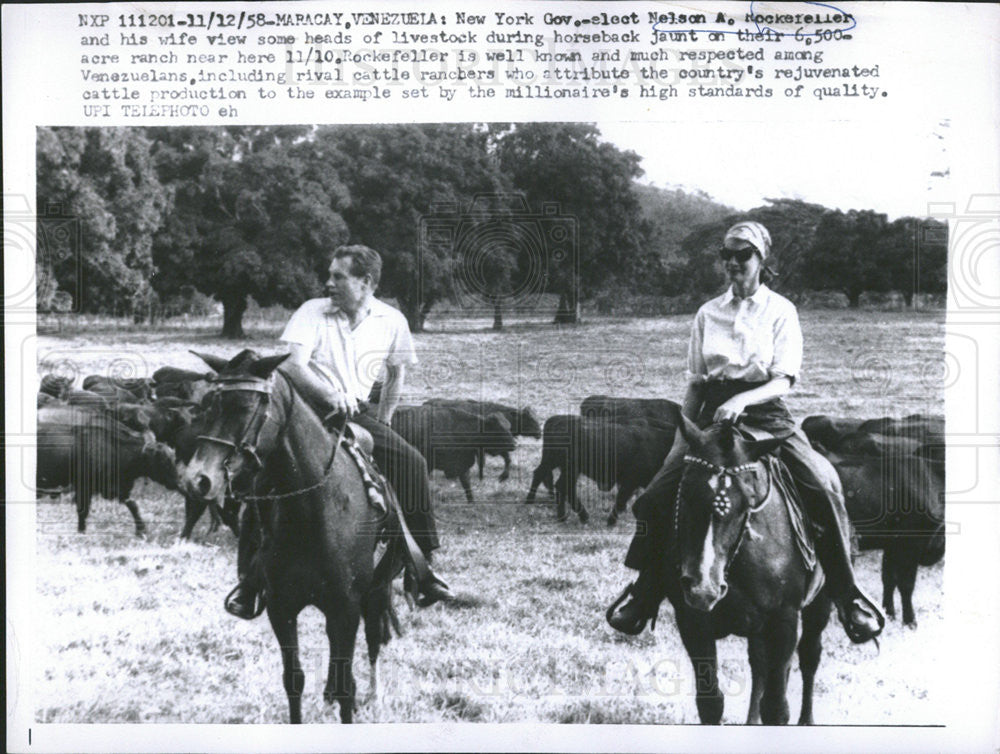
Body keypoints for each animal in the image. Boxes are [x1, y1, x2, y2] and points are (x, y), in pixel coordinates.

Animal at [36, 406, 181, 536]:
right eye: (162, 461)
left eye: (173, 458)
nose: (177, 482)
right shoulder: (84, 489)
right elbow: (83, 511)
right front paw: (81, 531)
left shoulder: (117, 489)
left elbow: (133, 505)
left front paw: (141, 530)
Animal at [182, 350, 400, 720]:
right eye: (207, 405)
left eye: (245, 406)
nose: (198, 479)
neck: (314, 510)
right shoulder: (281, 607)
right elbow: (294, 680)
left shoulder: (345, 608)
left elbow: (347, 685)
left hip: (375, 591)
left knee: (373, 636)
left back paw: (375, 695)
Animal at [528, 412, 676, 524]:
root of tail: (556, 420)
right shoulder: (631, 481)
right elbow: (621, 499)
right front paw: (611, 521)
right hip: (570, 469)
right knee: (563, 487)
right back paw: (582, 517)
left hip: (554, 463)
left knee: (542, 475)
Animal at [664, 418, 836, 724]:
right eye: (686, 494)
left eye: (746, 502)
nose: (703, 589)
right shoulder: (692, 621)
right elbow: (710, 703)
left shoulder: (783, 619)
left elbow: (776, 709)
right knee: (759, 664)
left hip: (819, 604)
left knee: (809, 657)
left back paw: (807, 719)